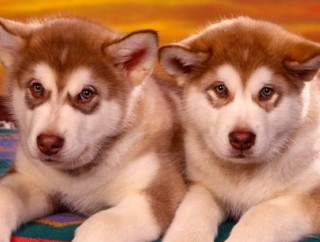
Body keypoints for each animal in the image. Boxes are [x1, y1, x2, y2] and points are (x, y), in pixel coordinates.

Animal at [0, 16, 185, 242]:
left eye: (86, 93)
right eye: (37, 88)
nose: (47, 143)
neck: (78, 174)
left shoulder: (161, 189)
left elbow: (101, 224)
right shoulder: (29, 178)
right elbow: (5, 195)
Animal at [159, 16, 320, 241]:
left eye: (266, 91)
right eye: (220, 89)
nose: (242, 138)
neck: (243, 174)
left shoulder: (309, 196)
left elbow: (263, 212)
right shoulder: (202, 185)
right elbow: (193, 210)